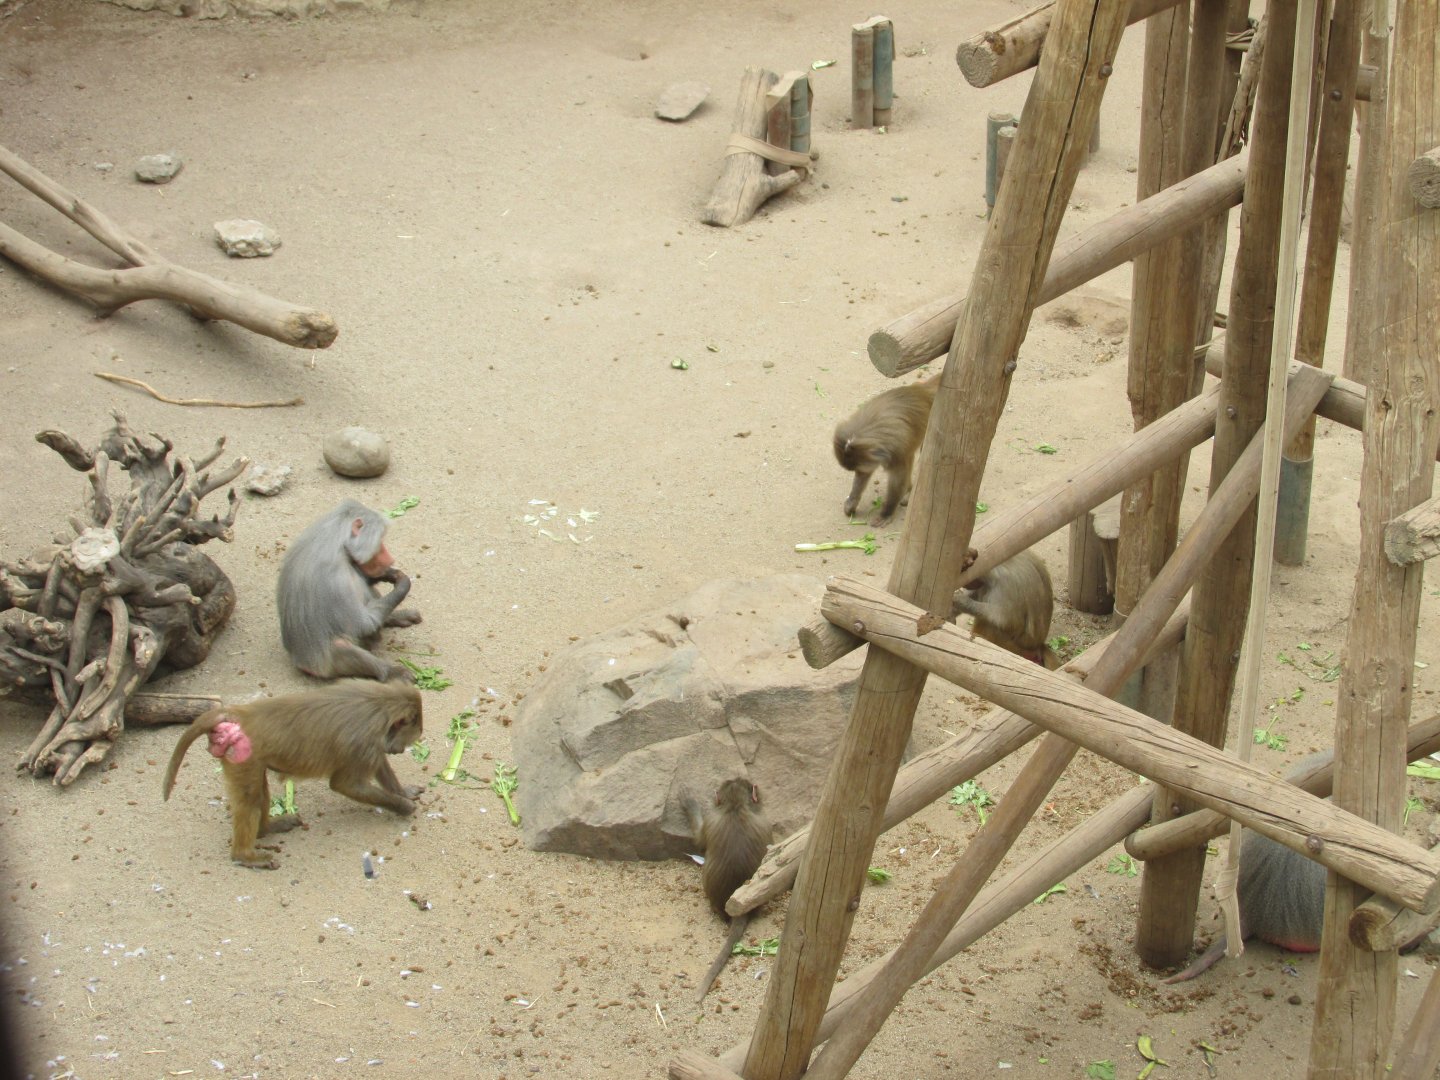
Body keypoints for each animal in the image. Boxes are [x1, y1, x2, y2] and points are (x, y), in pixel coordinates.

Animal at [162, 679, 424, 870]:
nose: (399, 750)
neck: (380, 705)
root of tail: (239, 714)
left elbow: (379, 764)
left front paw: (403, 792)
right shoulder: (363, 742)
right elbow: (344, 784)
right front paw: (403, 806)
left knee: (258, 792)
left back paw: (267, 828)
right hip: (241, 754)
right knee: (249, 799)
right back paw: (245, 855)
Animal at [276, 500, 422, 681]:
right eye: (380, 543)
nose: (390, 559)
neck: (336, 540)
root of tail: (297, 660)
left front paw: (389, 574)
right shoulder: (335, 577)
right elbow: (363, 624)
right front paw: (403, 582)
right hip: (324, 666)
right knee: (342, 645)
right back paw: (391, 673)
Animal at [833, 374, 941, 527]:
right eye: (856, 470)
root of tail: (925, 390)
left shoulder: (896, 450)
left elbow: (898, 478)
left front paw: (886, 513)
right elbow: (865, 474)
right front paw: (852, 502)